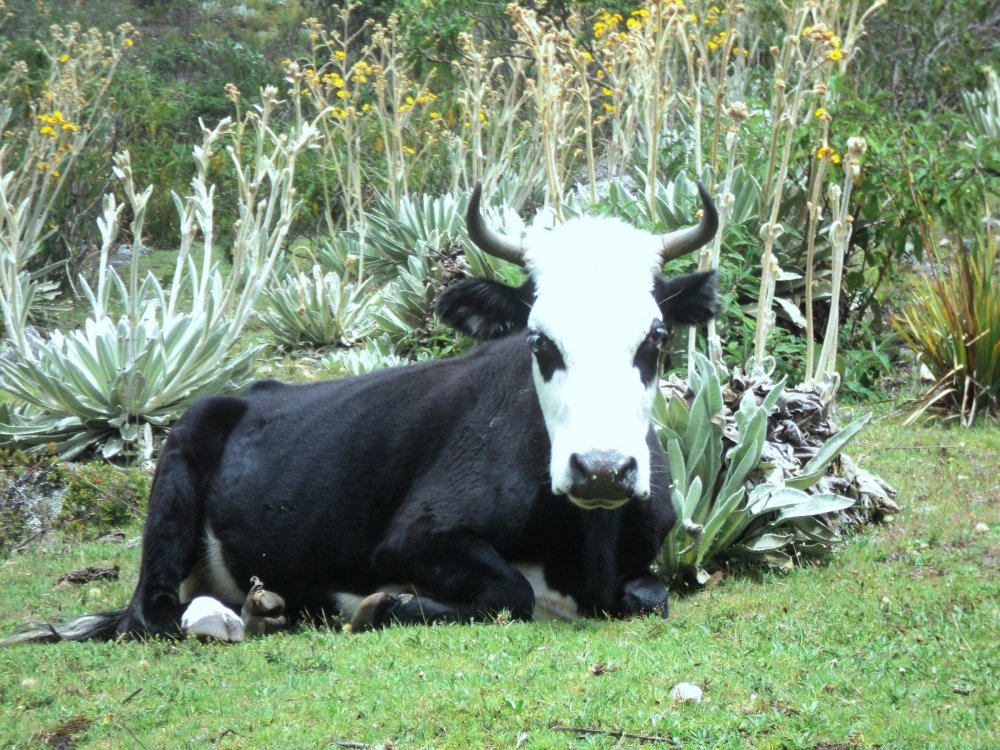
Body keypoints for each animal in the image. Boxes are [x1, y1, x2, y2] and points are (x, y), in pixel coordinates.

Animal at [1, 181, 720, 648]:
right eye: (540, 342)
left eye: (655, 338)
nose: (601, 469)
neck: (584, 547)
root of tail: (252, 390)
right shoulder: (412, 537)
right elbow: (510, 592)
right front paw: (381, 605)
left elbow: (650, 595)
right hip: (177, 469)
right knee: (150, 616)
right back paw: (234, 620)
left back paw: (264, 609)